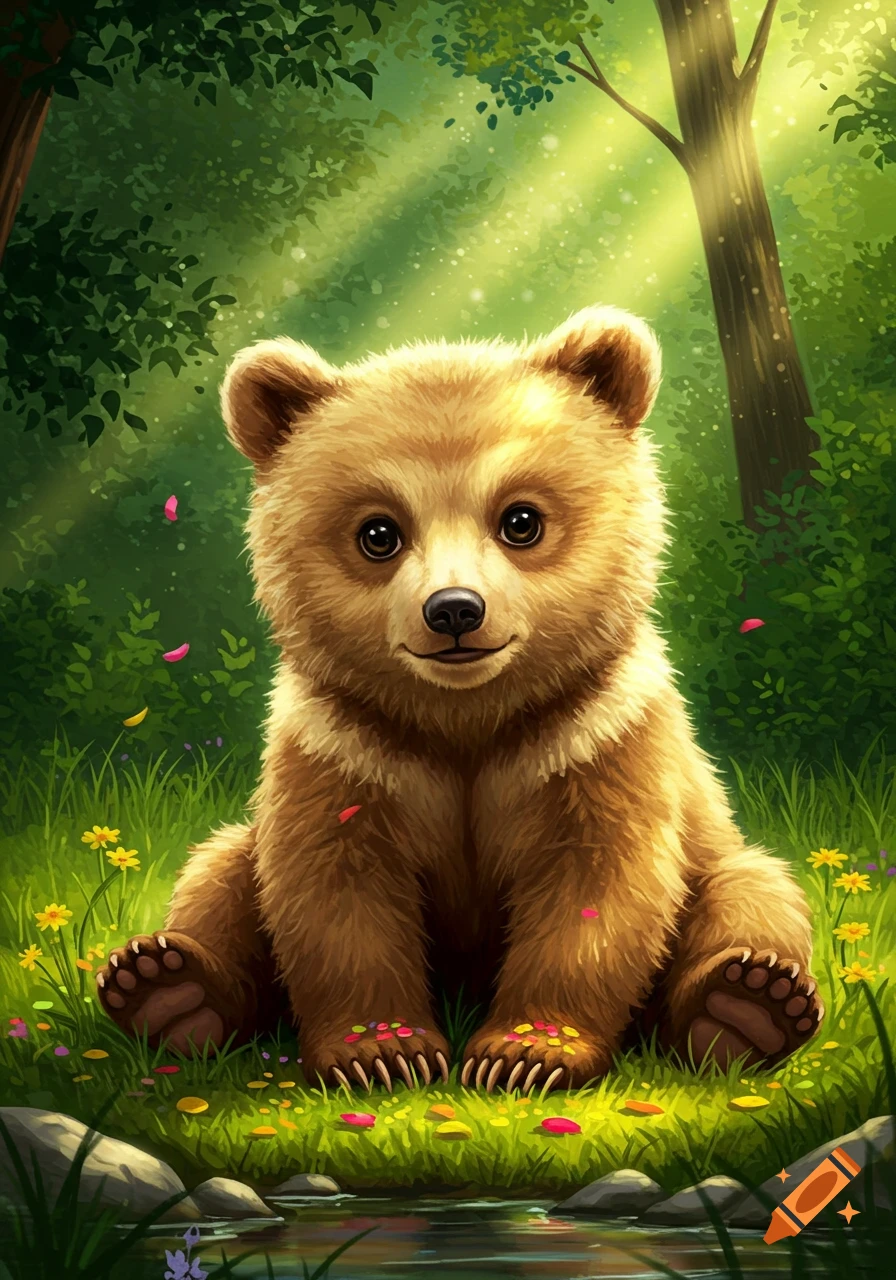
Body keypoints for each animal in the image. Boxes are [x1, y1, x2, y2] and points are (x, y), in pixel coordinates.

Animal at [96, 305, 823, 1093]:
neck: (465, 722)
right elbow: (336, 891)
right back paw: (167, 987)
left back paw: (748, 1004)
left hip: (715, 852)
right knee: (218, 871)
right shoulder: (346, 748)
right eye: (379, 532)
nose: (453, 610)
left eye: (521, 520)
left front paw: (527, 1052)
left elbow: (596, 885)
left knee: (757, 889)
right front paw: (383, 1050)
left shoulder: (595, 737)